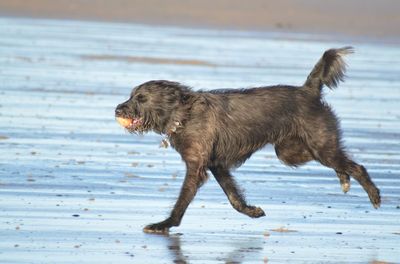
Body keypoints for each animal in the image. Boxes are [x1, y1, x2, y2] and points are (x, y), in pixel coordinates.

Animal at [115, 47, 382, 233]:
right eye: (131, 95)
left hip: (317, 145)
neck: (183, 114)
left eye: (141, 98)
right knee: (340, 161)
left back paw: (373, 194)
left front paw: (165, 224)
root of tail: (308, 90)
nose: (117, 109)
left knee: (356, 165)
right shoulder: (217, 165)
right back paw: (343, 179)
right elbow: (233, 196)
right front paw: (251, 211)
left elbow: (182, 199)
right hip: (291, 152)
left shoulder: (197, 167)